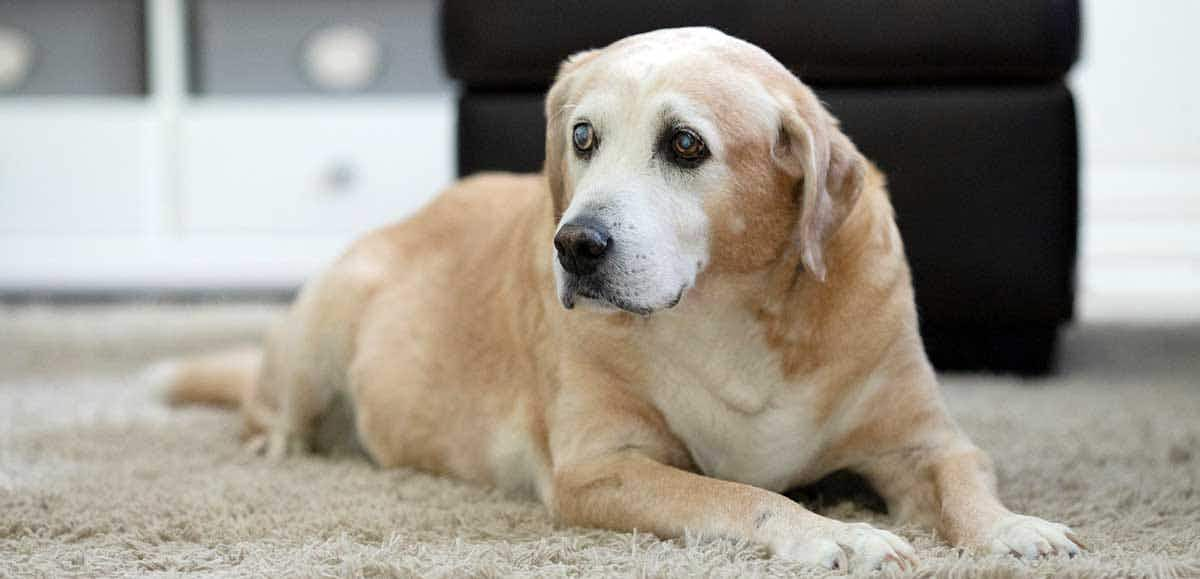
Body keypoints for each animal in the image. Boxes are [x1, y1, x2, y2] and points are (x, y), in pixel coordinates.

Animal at [154, 28, 1084, 574]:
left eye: (686, 145)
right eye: (582, 137)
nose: (575, 245)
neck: (727, 313)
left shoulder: (922, 438)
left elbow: (965, 477)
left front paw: (1013, 527)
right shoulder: (599, 466)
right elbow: (736, 493)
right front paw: (838, 532)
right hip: (325, 320)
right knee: (270, 403)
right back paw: (281, 440)